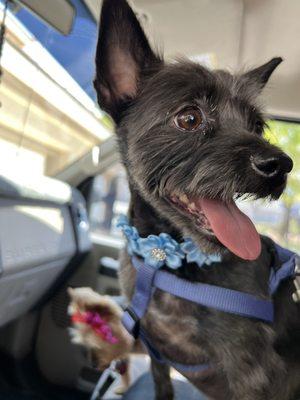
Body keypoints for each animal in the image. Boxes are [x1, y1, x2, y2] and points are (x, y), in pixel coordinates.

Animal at [92, 0, 298, 400]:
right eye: (189, 118)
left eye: (256, 126)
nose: (280, 165)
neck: (166, 265)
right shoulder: (154, 347)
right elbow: (161, 384)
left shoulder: (253, 373)